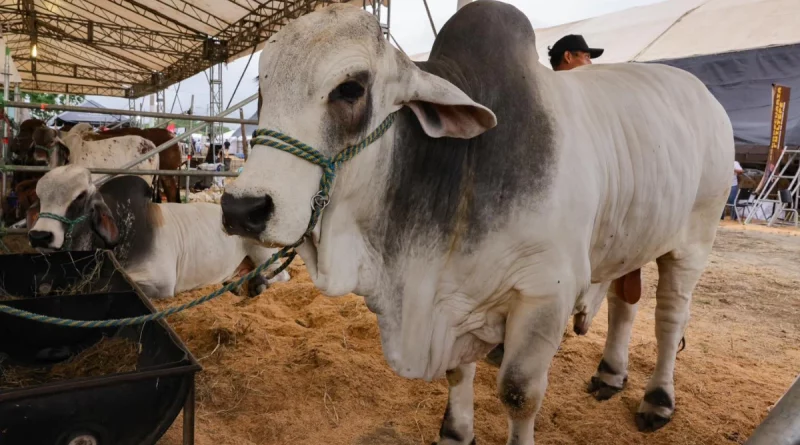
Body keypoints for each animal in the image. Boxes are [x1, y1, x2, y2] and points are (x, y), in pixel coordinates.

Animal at [26, 166, 292, 298]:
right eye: (39, 196)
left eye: (80, 196)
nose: (40, 236)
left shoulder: (161, 284)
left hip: (263, 253)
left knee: (280, 277)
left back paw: (257, 284)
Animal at [216, 1, 736, 442]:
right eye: (262, 90)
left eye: (351, 88)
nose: (242, 209)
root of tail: (705, 97)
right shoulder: (454, 299)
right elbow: (457, 370)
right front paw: (455, 431)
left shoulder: (546, 293)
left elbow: (519, 394)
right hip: (633, 234)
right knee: (625, 302)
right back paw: (610, 373)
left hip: (694, 240)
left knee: (670, 318)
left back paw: (658, 399)